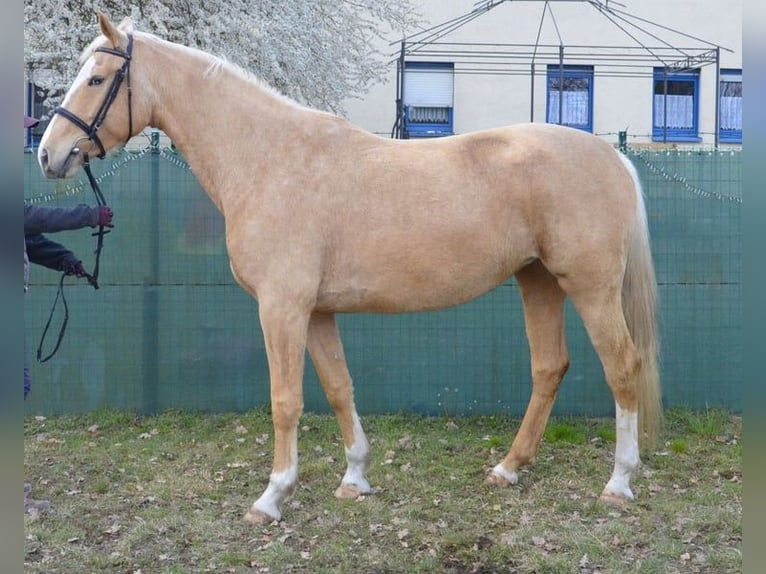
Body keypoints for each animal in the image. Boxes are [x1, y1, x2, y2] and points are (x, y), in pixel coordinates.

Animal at [38, 13, 661, 525]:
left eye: (97, 79)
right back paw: (508, 468)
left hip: (590, 288)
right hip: (538, 281)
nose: (50, 153)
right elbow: (339, 388)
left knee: (622, 367)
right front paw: (355, 478)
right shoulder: (316, 311)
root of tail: (612, 156)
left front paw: (273, 497)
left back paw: (618, 483)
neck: (270, 159)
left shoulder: (281, 308)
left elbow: (285, 400)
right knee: (549, 367)